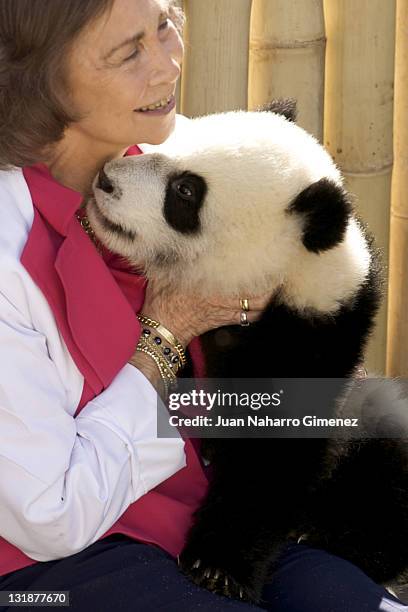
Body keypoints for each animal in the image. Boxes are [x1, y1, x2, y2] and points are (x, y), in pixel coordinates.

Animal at [86, 100, 408, 604]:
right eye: (159, 142)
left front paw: (217, 567)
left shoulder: (314, 342)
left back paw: (331, 536)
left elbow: (271, 457)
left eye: (185, 191)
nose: (105, 179)